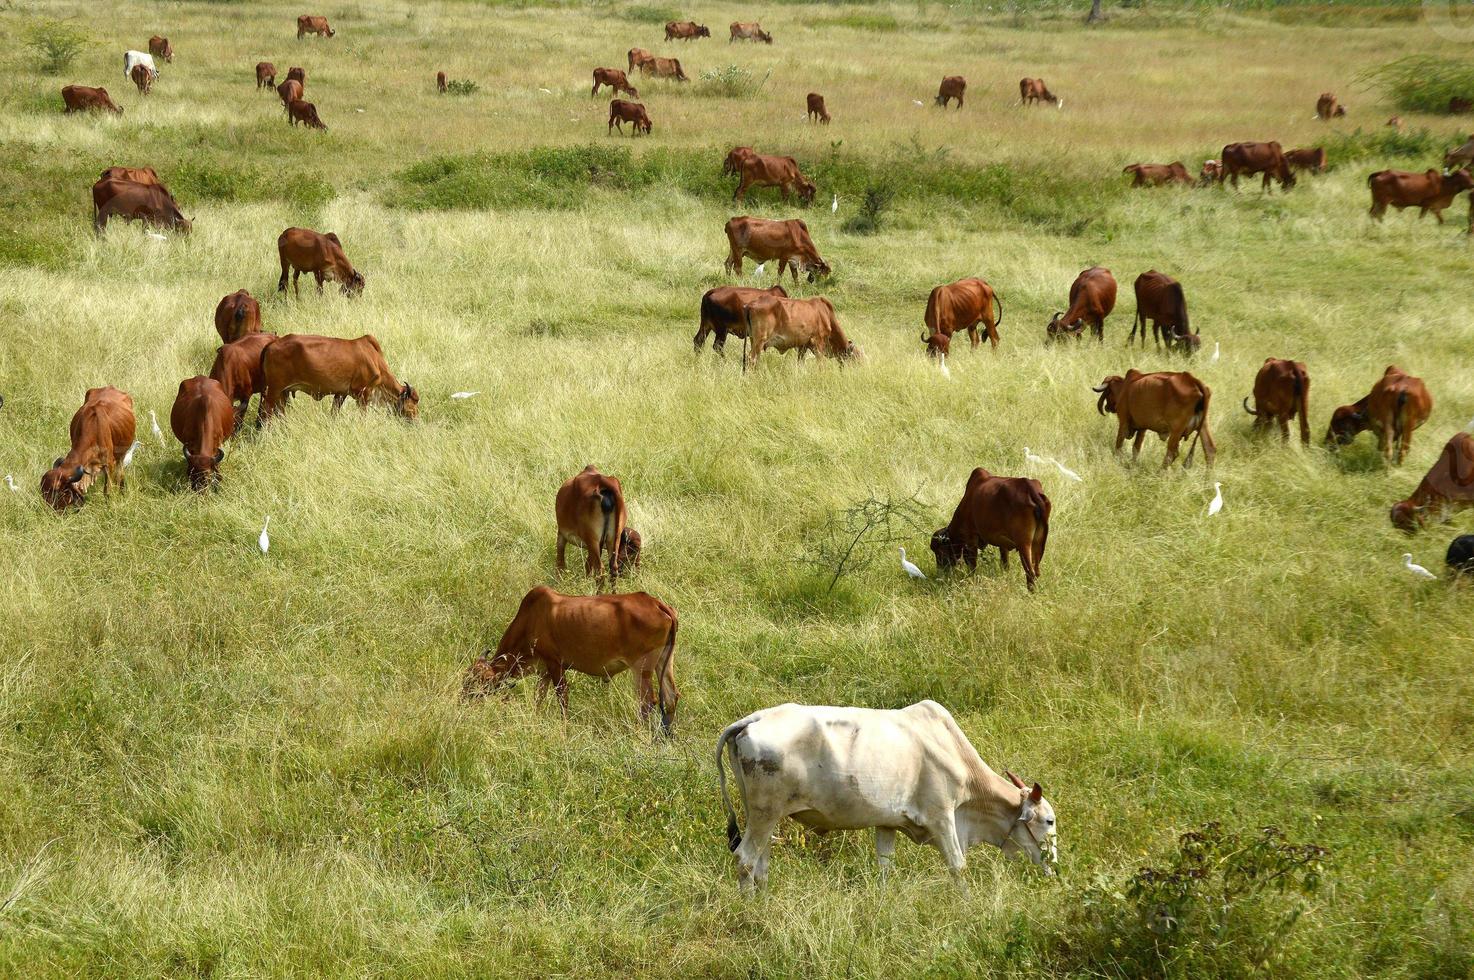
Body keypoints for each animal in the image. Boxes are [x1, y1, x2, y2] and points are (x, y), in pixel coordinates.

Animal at [259, 334, 418, 418]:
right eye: (413, 404)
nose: (415, 422)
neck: (375, 359)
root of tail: (272, 344)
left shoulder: (341, 393)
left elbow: (334, 413)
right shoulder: (363, 394)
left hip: (283, 393)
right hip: (274, 390)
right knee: (266, 413)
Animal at [459, 583, 678, 730]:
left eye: (477, 682)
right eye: (466, 678)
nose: (461, 703)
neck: (531, 619)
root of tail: (657, 604)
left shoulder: (555, 664)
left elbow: (562, 697)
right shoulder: (545, 671)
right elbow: (538, 698)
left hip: (641, 668)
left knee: (647, 701)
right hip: (664, 663)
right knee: (671, 698)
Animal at [716, 698, 1055, 890]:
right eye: (1049, 821)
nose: (1055, 867)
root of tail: (755, 719)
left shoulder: (887, 824)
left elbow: (884, 867)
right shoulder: (942, 817)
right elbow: (958, 867)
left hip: (763, 815)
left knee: (761, 865)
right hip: (766, 813)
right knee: (745, 859)